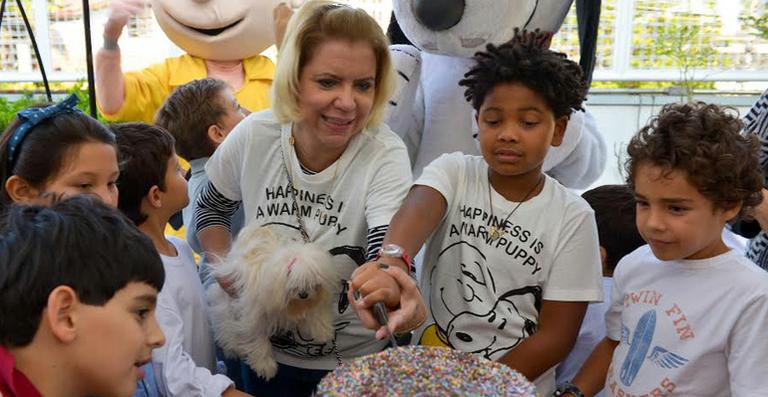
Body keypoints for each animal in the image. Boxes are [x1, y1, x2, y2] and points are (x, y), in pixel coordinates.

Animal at [207, 224, 336, 378]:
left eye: (312, 281)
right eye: (293, 279)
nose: (304, 295)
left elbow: (316, 313)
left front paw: (323, 332)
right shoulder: (254, 316)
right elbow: (257, 339)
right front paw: (265, 366)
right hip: (228, 297)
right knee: (224, 322)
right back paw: (232, 346)